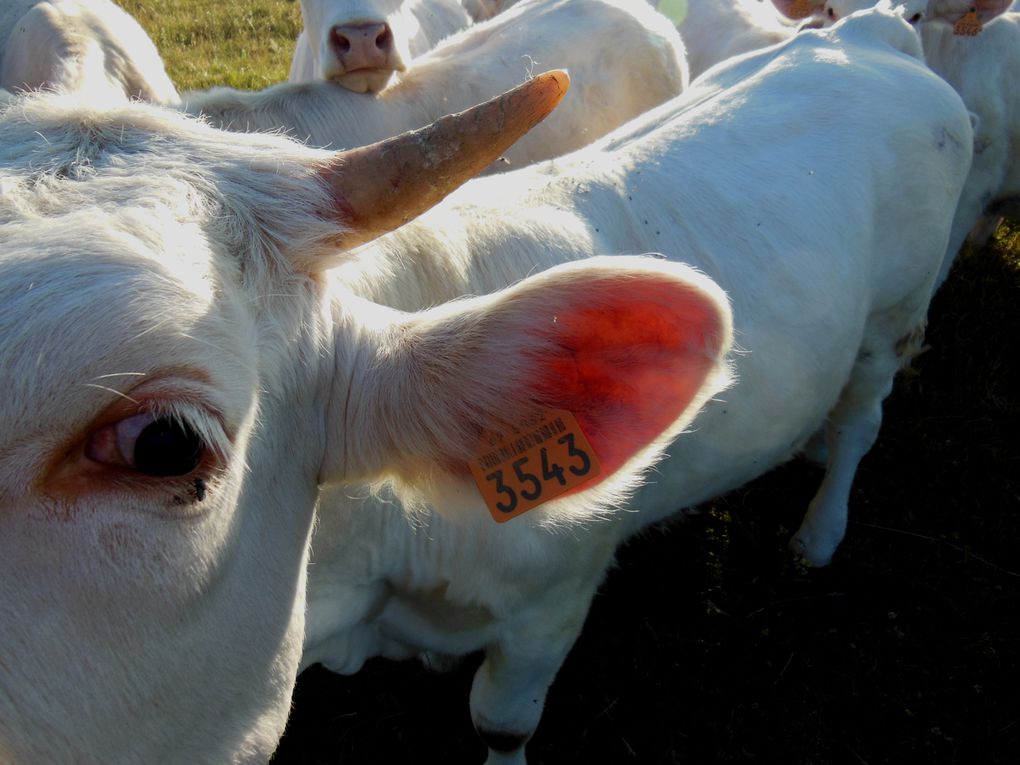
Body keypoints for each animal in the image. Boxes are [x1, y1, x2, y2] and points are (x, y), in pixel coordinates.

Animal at [297, 7, 971, 765]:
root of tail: (859, 32)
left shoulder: (553, 601)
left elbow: (502, 721)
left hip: (894, 314)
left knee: (861, 421)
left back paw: (820, 532)